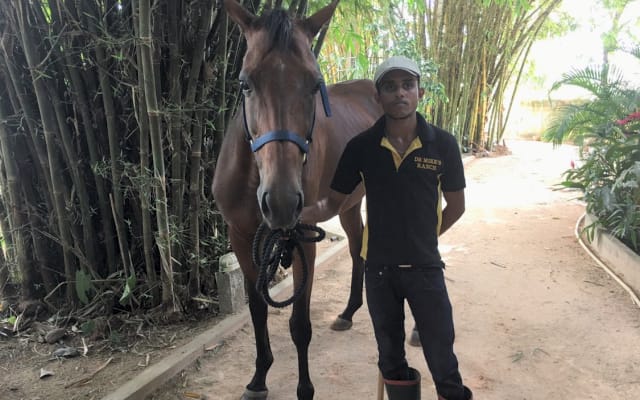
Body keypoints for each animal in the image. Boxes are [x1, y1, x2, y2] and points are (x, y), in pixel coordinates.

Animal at [211, 1, 380, 398]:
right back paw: (348, 312)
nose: (282, 201)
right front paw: (258, 377)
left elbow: (299, 323)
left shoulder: (303, 238)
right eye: (245, 83)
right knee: (356, 247)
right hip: (350, 204)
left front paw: (305, 388)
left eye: (315, 84)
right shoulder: (240, 236)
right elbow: (258, 309)